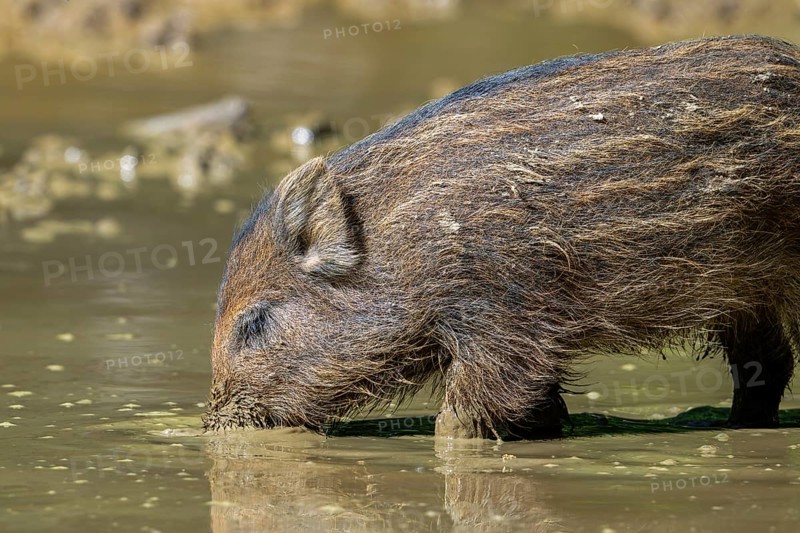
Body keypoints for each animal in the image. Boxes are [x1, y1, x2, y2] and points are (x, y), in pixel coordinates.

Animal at [203, 35, 800, 439]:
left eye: (254, 322)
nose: (212, 424)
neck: (405, 248)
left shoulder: (507, 319)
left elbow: (468, 415)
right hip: (747, 299)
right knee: (767, 365)